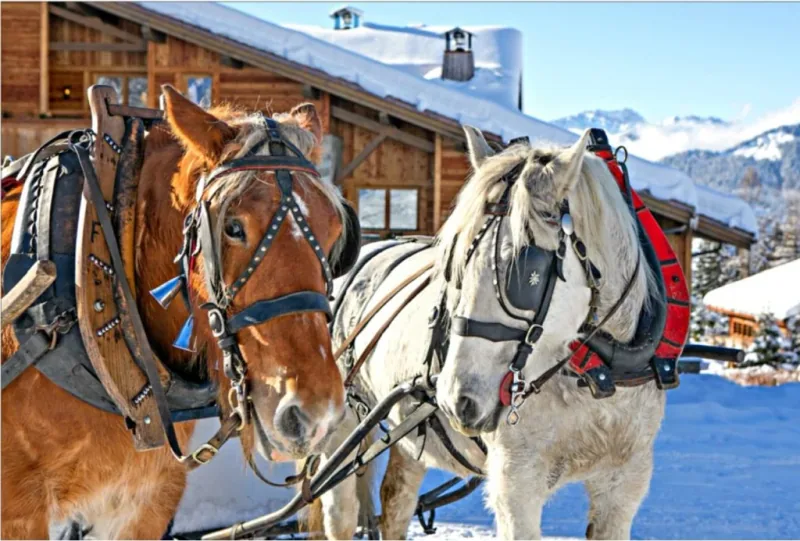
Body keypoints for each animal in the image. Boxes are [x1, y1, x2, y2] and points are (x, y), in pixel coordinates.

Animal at [314, 126, 666, 539]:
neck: (595, 373)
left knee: (396, 501)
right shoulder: (517, 483)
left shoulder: (624, 481)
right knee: (340, 511)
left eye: (523, 271)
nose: (457, 400)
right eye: (453, 265)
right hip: (343, 421)